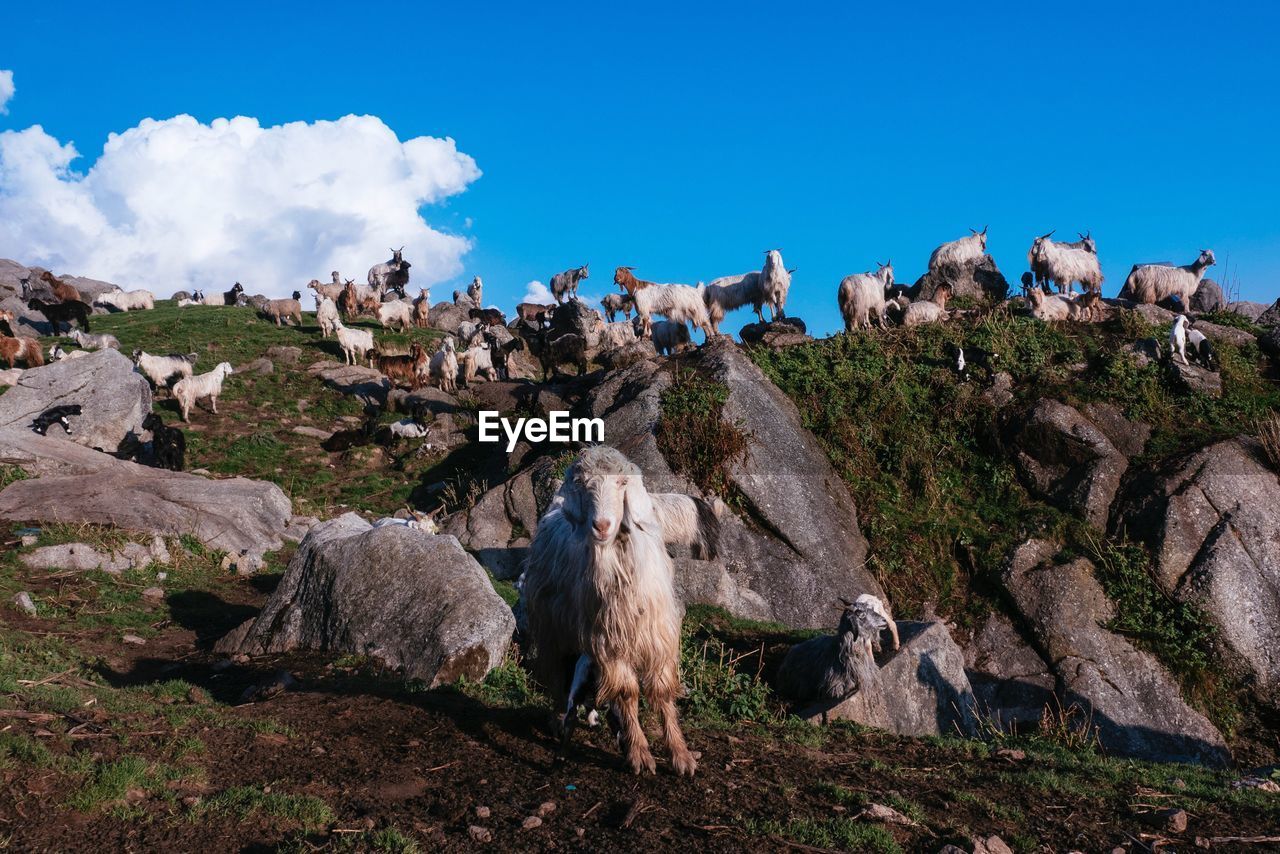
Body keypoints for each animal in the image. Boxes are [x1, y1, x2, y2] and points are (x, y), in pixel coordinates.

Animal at [519, 445, 721, 778]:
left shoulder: (658, 637)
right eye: (583, 484)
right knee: (557, 675)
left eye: (622, 483)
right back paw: (560, 719)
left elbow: (661, 692)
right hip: (553, 628)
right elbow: (627, 693)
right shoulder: (609, 642)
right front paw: (639, 753)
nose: (601, 526)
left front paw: (681, 755)